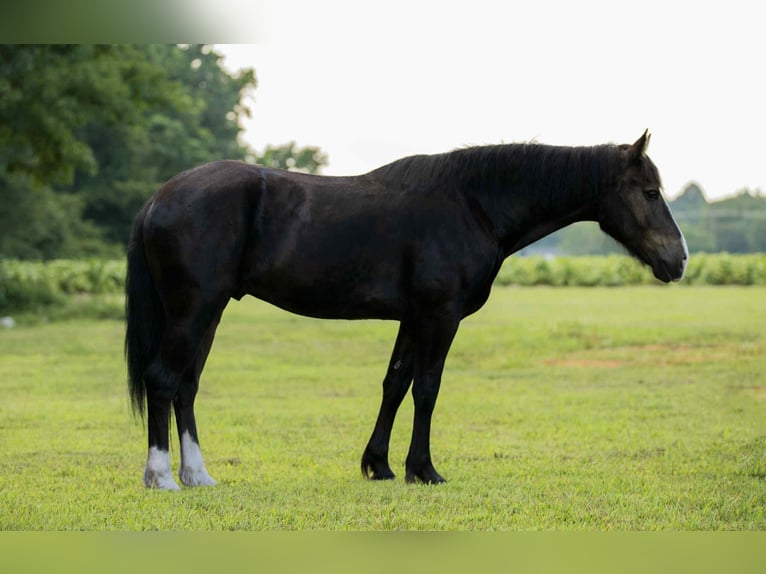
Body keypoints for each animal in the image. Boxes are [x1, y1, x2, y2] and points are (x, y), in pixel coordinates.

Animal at [125, 130, 688, 489]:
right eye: (649, 191)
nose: (679, 259)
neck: (471, 204)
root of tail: (158, 198)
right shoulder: (439, 316)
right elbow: (427, 389)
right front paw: (424, 470)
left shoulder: (413, 318)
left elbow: (395, 384)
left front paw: (379, 465)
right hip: (194, 309)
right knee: (163, 379)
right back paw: (162, 478)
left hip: (207, 312)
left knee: (186, 385)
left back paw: (197, 475)